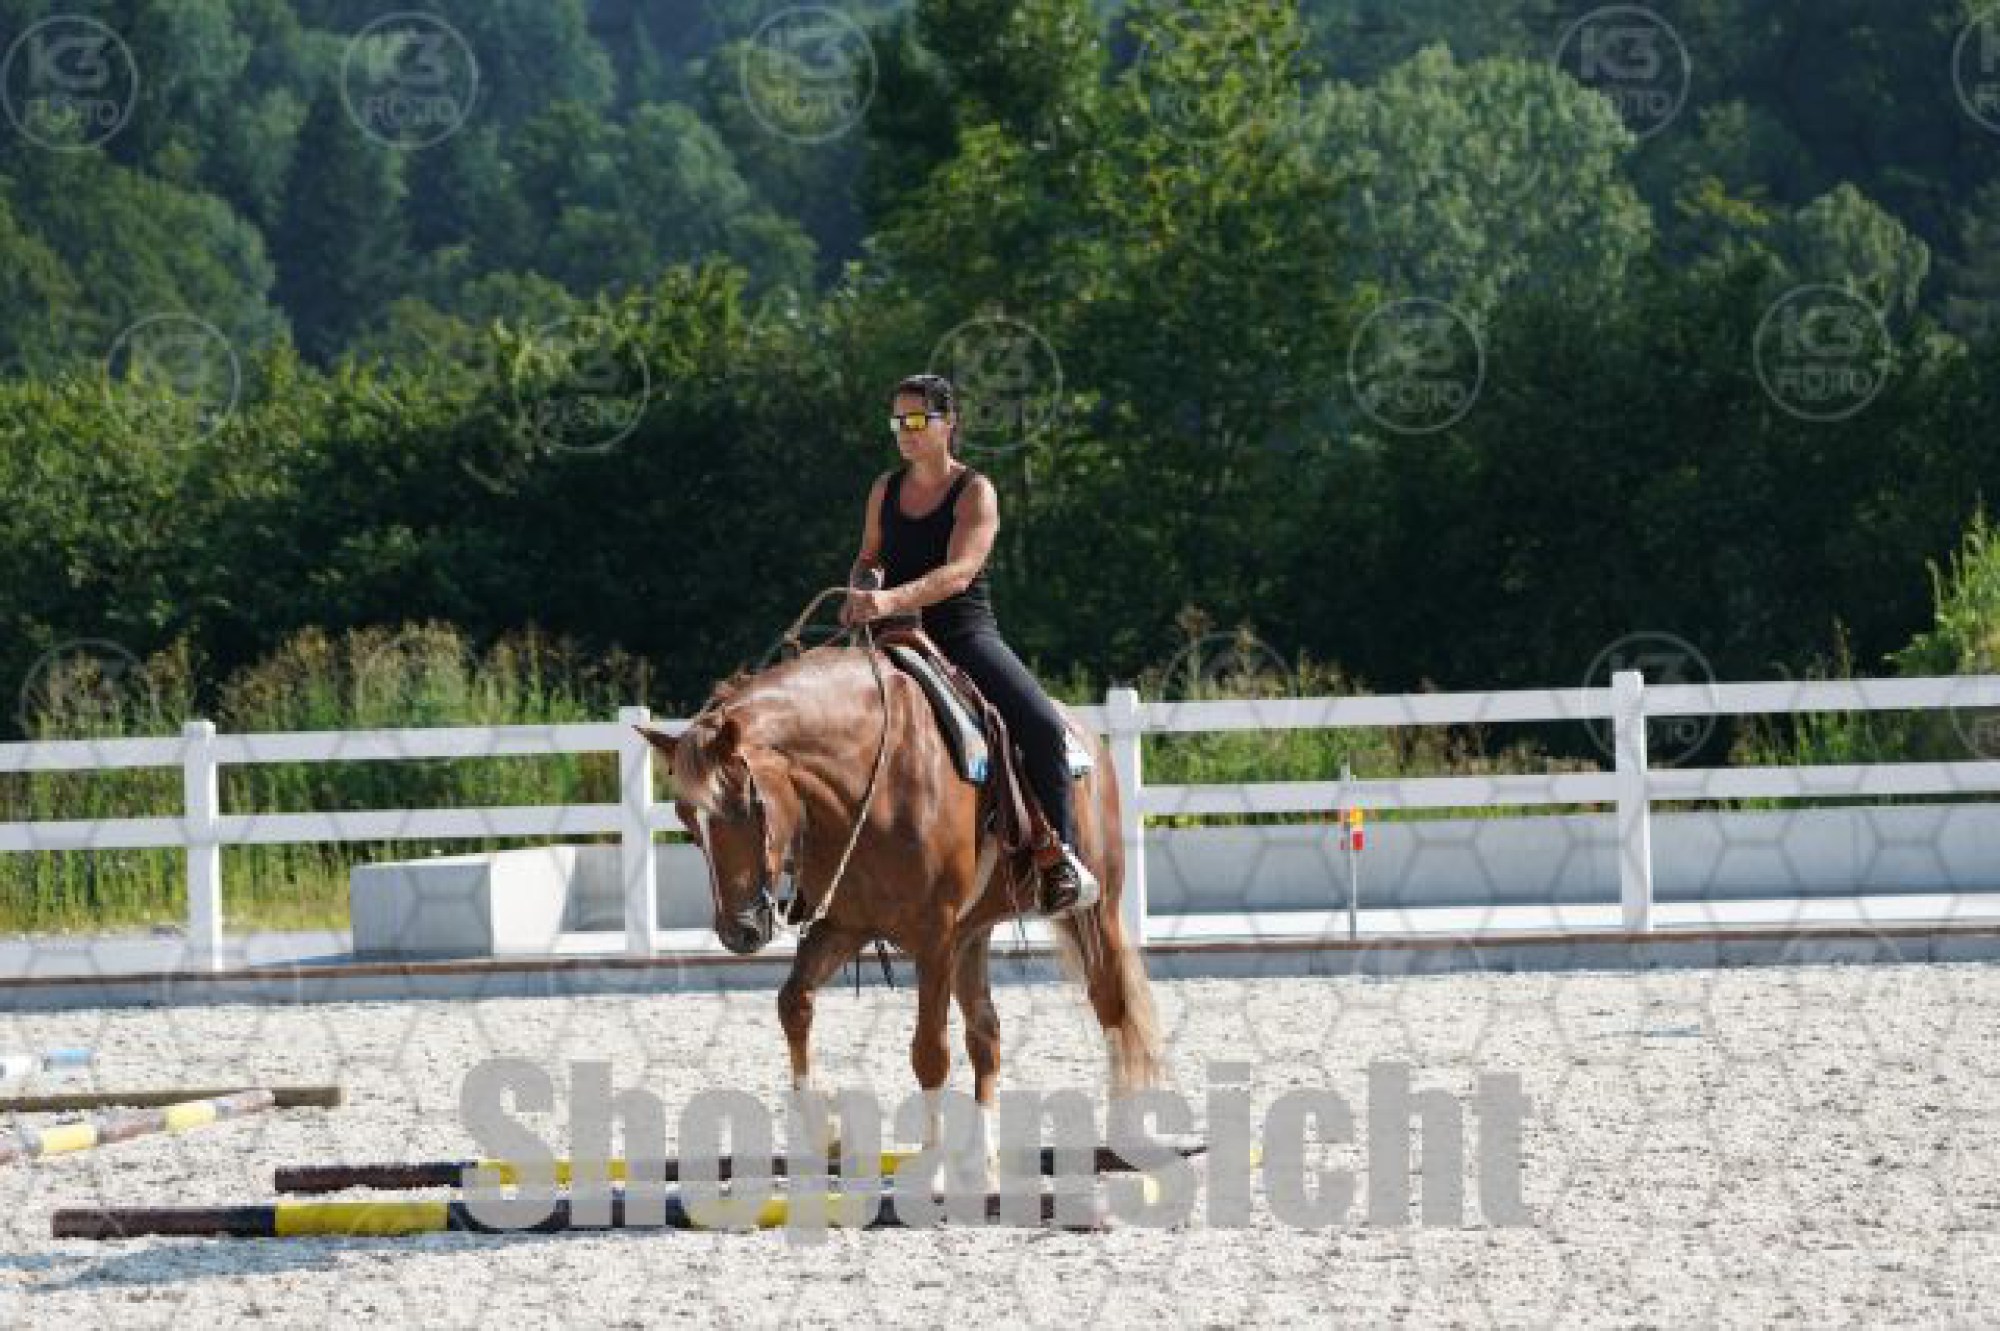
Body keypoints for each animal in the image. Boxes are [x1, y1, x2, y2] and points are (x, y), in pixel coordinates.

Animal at [639, 642, 1162, 1178]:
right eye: (685, 819)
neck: (867, 780)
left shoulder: (933, 937)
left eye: (743, 803)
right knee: (986, 1033)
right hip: (971, 934)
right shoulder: (845, 925)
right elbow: (793, 1004)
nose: (738, 932)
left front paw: (930, 1163)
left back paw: (1123, 1137)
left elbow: (929, 1051)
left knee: (1111, 1003)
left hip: (1094, 911)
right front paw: (823, 1132)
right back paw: (980, 1154)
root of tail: (1085, 736)